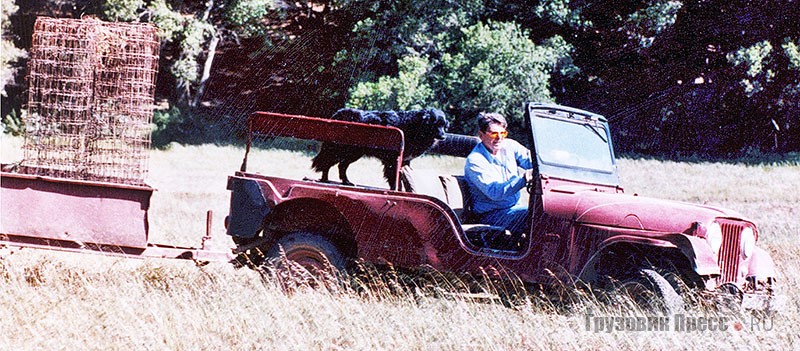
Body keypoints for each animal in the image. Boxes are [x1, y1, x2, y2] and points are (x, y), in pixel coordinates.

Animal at [312, 108, 450, 191]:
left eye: (444, 125)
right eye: (435, 124)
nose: (443, 136)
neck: (416, 126)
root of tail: (338, 114)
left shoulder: (405, 161)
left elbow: (403, 177)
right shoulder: (393, 160)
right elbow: (394, 177)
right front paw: (396, 190)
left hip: (353, 153)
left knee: (341, 165)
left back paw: (345, 182)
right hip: (342, 150)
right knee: (328, 162)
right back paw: (325, 179)